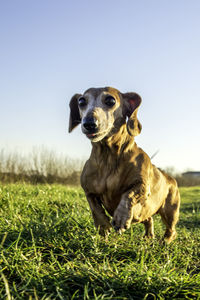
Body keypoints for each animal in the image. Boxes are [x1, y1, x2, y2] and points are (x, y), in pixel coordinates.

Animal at [69, 86, 181, 244]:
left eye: (110, 100)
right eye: (81, 101)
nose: (89, 123)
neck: (108, 157)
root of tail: (171, 179)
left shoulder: (142, 186)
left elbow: (129, 194)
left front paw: (121, 218)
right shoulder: (88, 191)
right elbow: (95, 208)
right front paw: (103, 226)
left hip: (170, 211)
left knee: (171, 230)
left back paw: (165, 241)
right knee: (149, 219)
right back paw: (148, 236)